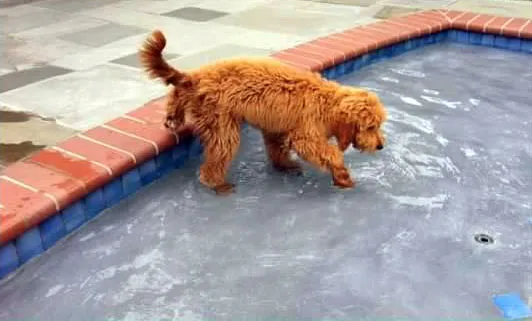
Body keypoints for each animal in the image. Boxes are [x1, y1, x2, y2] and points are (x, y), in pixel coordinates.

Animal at [140, 30, 386, 195]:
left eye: (378, 125)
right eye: (370, 126)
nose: (380, 146)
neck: (327, 103)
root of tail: (197, 78)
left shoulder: (277, 128)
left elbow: (277, 149)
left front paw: (285, 166)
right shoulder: (306, 136)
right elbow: (331, 154)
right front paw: (343, 176)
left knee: (176, 94)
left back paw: (173, 118)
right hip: (221, 125)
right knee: (216, 158)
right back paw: (217, 183)